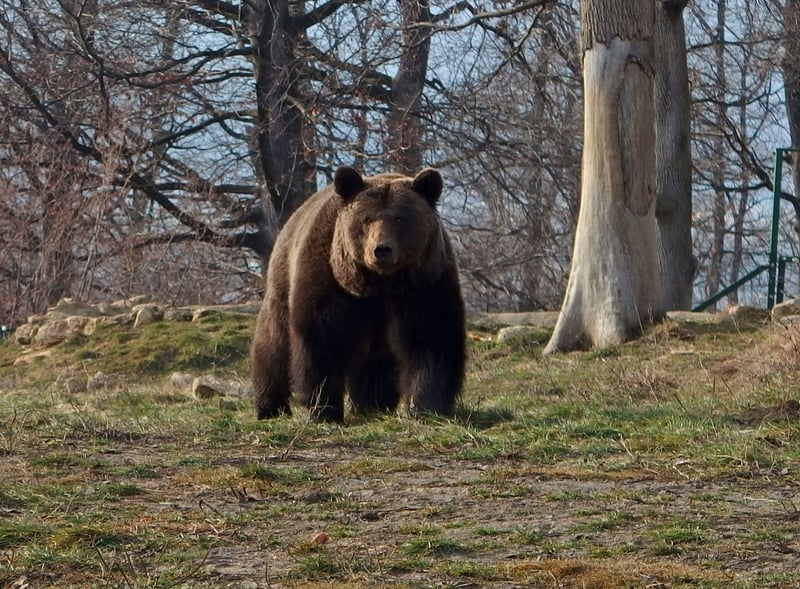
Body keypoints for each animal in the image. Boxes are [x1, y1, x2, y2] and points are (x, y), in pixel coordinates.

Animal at [252, 165, 468, 422]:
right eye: (367, 218)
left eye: (400, 218)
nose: (381, 249)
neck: (381, 283)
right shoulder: (331, 281)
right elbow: (322, 339)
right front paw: (324, 409)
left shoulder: (424, 282)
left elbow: (432, 337)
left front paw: (427, 406)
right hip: (283, 280)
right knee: (274, 342)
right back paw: (270, 406)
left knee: (375, 360)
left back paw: (373, 404)